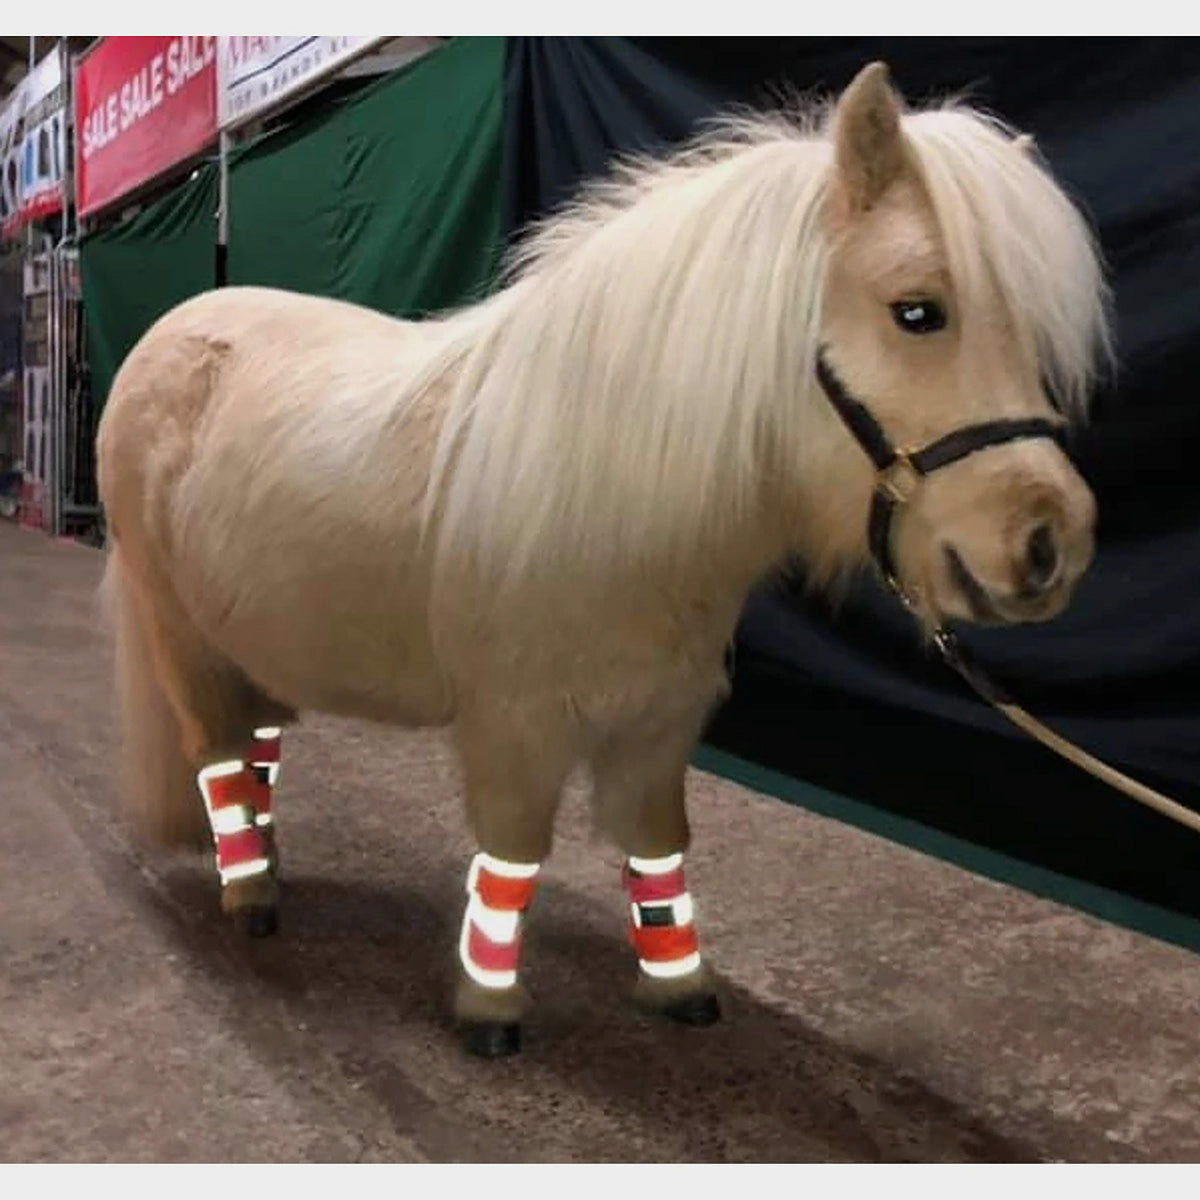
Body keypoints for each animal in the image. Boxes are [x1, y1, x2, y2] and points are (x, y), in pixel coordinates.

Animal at [96, 62, 1111, 1058]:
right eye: (918, 311)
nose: (1051, 543)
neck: (607, 477)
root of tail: (175, 327)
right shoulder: (514, 725)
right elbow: (511, 860)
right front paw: (490, 1009)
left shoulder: (661, 720)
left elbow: (658, 849)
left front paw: (680, 987)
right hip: (178, 629)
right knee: (219, 757)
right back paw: (250, 892)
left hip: (254, 633)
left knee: (257, 750)